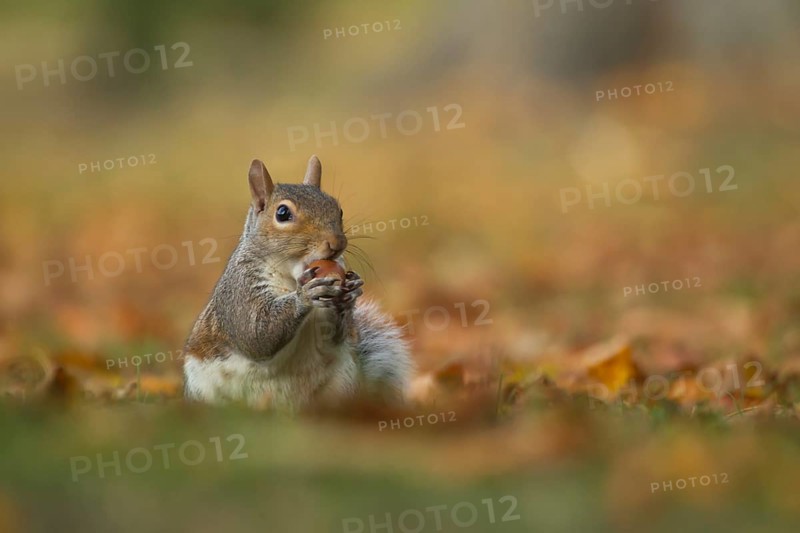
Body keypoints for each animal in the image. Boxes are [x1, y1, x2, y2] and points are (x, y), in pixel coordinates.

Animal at [182, 155, 413, 410]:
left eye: (339, 209)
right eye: (282, 213)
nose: (337, 243)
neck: (293, 276)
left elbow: (331, 338)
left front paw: (350, 294)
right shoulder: (239, 290)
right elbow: (255, 333)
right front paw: (306, 295)